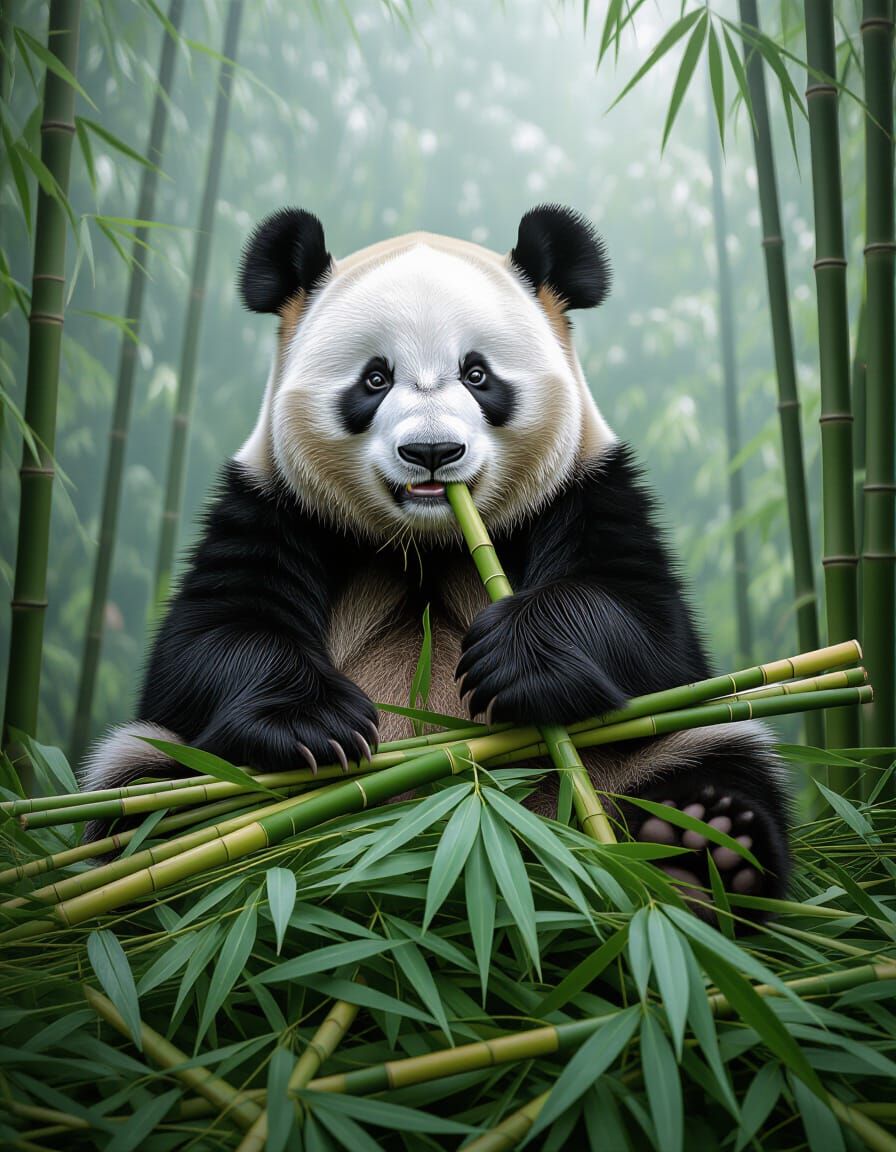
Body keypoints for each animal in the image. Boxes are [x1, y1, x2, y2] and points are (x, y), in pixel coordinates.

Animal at [82, 204, 792, 910]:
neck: (426, 541)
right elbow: (211, 637)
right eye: (375, 378)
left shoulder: (583, 490)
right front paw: (320, 723)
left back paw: (705, 850)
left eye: (477, 375)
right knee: (146, 792)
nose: (431, 452)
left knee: (713, 752)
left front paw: (512, 659)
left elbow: (644, 623)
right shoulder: (276, 505)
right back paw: (183, 872)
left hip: (635, 755)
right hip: (191, 779)